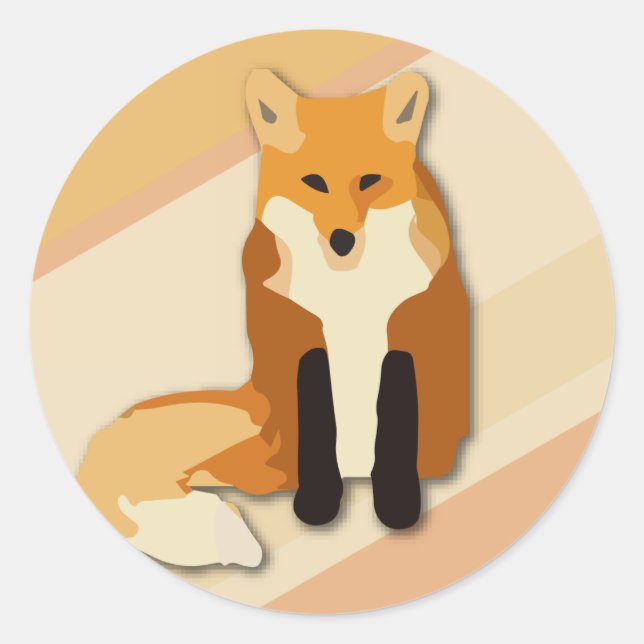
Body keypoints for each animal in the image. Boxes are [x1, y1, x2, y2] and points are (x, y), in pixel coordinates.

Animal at [77, 68, 469, 562]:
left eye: (370, 181)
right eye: (313, 182)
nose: (342, 240)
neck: (348, 288)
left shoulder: (408, 334)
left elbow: (396, 426)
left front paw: (397, 506)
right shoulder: (300, 337)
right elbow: (317, 423)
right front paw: (318, 505)